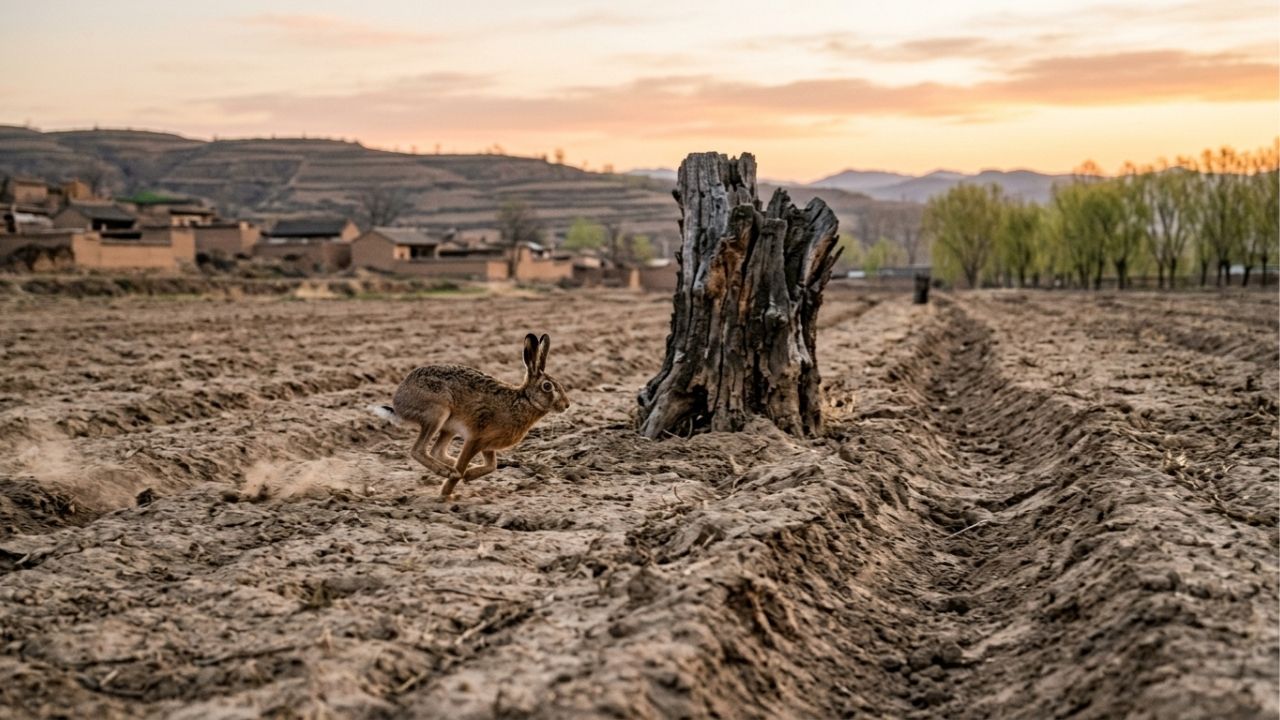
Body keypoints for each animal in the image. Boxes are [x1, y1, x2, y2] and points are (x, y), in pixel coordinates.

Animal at [372, 333, 570, 499]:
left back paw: (456, 468)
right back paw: (449, 472)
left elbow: (492, 465)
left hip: (448, 427)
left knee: (437, 451)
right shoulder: (475, 439)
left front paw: (467, 475)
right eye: (547, 386)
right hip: (437, 413)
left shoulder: (488, 444)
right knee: (418, 450)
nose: (566, 405)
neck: (524, 400)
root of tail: (399, 402)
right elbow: (469, 463)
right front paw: (446, 494)